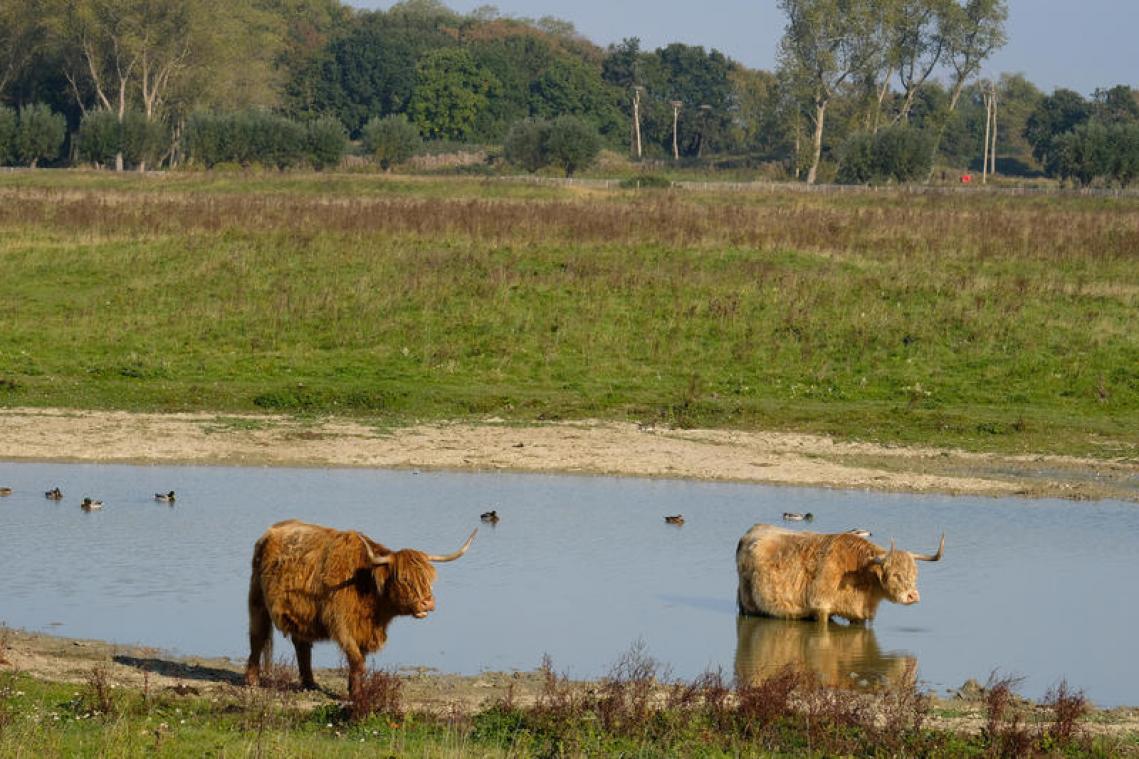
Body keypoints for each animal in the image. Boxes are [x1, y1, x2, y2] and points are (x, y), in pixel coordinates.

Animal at [738, 524, 943, 624]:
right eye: (895, 574)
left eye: (915, 574)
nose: (912, 596)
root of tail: (754, 529)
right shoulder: (821, 607)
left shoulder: (859, 616)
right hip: (746, 604)